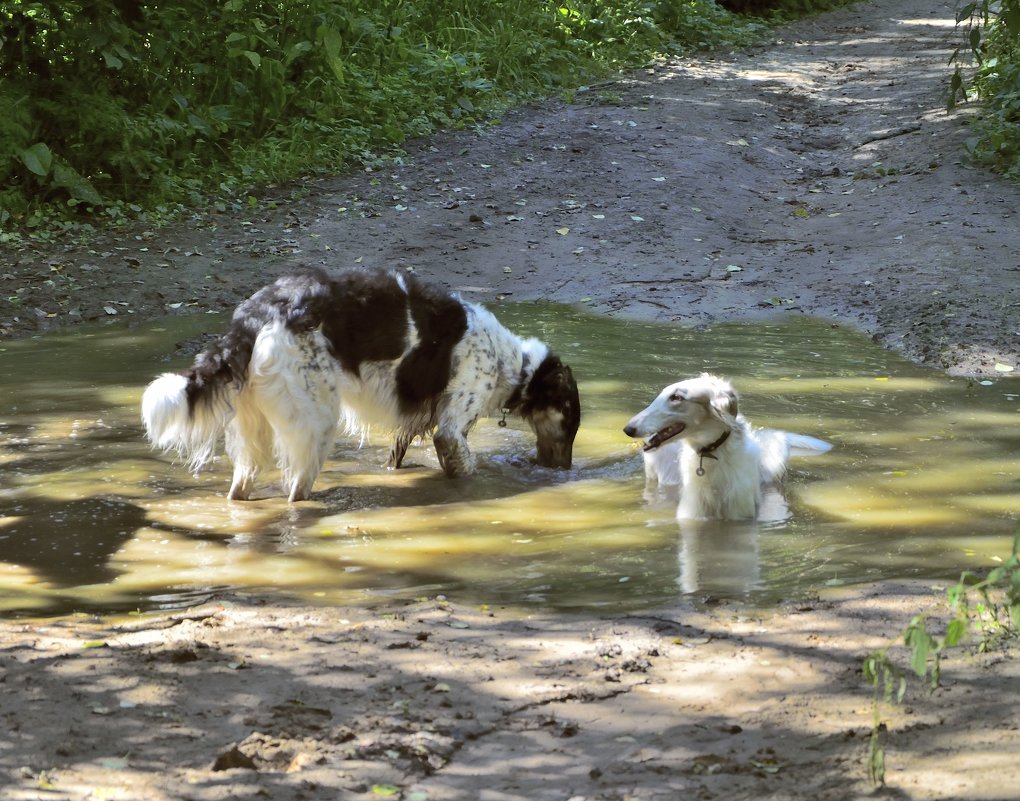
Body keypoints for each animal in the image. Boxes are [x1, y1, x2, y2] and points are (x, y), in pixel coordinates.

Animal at [141, 271, 583, 504]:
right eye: (571, 425)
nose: (565, 471)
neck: (514, 364)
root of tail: (256, 313)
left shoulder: (415, 424)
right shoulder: (451, 428)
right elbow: (466, 465)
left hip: (253, 432)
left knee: (239, 490)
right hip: (317, 421)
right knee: (296, 491)